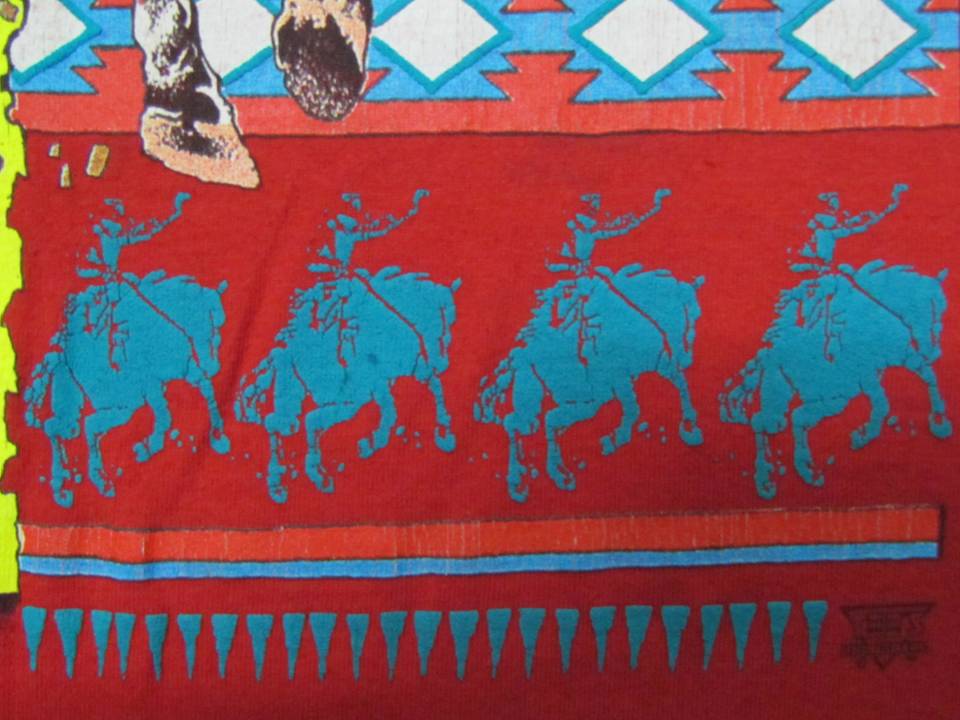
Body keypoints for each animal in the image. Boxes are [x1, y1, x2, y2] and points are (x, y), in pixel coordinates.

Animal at [24, 270, 231, 508]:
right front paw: (149, 446)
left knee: (65, 427)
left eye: (220, 325)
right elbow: (164, 416)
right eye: (205, 320)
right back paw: (84, 483)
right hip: (110, 401)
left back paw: (71, 485)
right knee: (79, 427)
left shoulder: (185, 369)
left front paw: (217, 436)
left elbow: (207, 390)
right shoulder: (152, 383)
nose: (213, 366)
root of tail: (59, 357)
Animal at [235, 266, 460, 503]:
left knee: (286, 423)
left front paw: (444, 433)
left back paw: (287, 481)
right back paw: (293, 480)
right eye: (440, 317)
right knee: (292, 423)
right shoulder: (373, 386)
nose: (442, 363)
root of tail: (280, 353)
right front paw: (372, 442)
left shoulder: (410, 370)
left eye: (450, 320)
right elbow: (390, 411)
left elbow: (434, 387)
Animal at [475, 263, 705, 502]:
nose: (686, 358)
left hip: (576, 403)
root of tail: (519, 357)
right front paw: (615, 438)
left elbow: (679, 384)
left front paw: (689, 426)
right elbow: (633, 408)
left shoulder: (656, 364)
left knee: (537, 422)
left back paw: (539, 477)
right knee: (523, 423)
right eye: (683, 311)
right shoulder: (620, 379)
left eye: (696, 314)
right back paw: (524, 481)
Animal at [720, 260, 951, 499]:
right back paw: (784, 475)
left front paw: (938, 422)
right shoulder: (874, 371)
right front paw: (864, 435)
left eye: (943, 308)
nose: (933, 352)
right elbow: (886, 401)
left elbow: (924, 379)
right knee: (780, 421)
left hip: (816, 396)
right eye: (925, 305)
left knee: (779, 420)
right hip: (811, 394)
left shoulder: (893, 362)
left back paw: (786, 475)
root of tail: (770, 356)